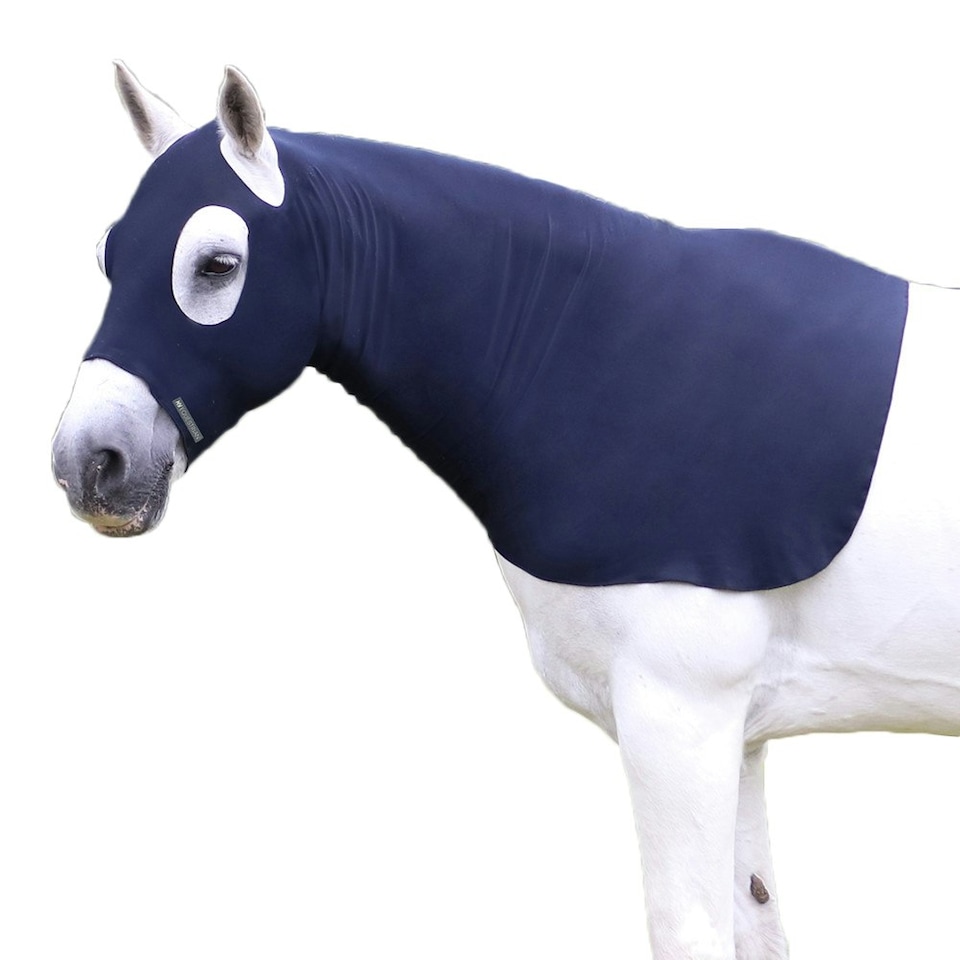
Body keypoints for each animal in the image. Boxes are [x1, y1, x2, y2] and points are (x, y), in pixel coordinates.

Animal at [51, 63, 960, 960]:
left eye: (215, 264)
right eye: (106, 257)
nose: (88, 461)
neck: (594, 362)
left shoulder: (682, 716)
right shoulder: (736, 732)